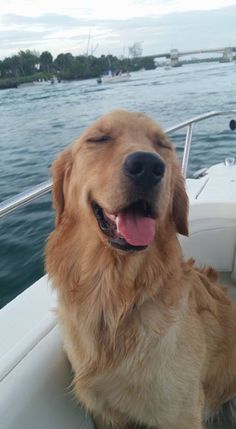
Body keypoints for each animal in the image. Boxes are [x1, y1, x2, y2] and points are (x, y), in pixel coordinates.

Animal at [45, 111, 236, 428]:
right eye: (98, 138)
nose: (147, 166)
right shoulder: (105, 414)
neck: (116, 297)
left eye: (162, 144)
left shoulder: (181, 413)